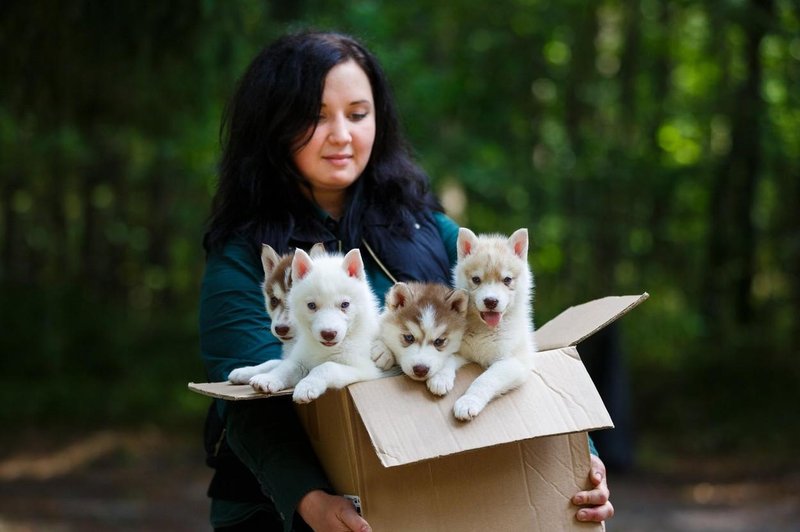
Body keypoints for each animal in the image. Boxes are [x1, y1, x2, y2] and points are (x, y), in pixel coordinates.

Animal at [248, 246, 382, 404]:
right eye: (311, 305)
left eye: (345, 304)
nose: (328, 334)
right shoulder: (302, 358)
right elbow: (287, 366)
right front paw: (269, 378)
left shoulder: (365, 369)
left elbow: (327, 366)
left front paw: (306, 386)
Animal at [450, 227, 536, 422]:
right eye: (476, 279)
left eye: (507, 280)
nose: (490, 301)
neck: (484, 329)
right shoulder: (463, 352)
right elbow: (446, 360)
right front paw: (438, 379)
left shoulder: (512, 361)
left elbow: (485, 379)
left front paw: (468, 402)